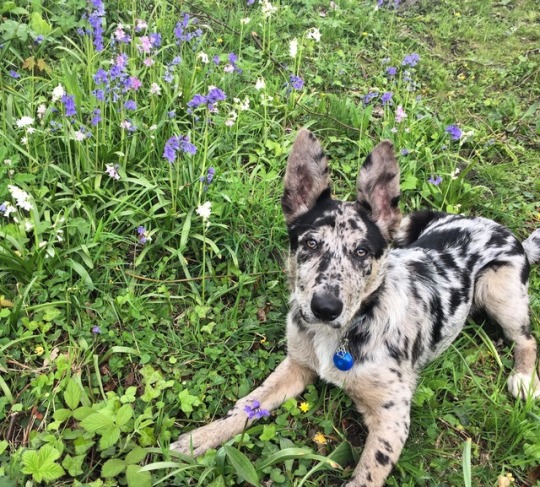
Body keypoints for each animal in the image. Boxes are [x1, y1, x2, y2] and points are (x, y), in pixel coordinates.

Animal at [172, 131, 540, 487]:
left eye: (362, 251)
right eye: (310, 243)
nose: (325, 308)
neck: (343, 331)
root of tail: (497, 228)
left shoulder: (392, 415)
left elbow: (366, 475)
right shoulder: (295, 366)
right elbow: (249, 404)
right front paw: (200, 438)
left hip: (498, 290)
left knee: (526, 338)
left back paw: (523, 379)